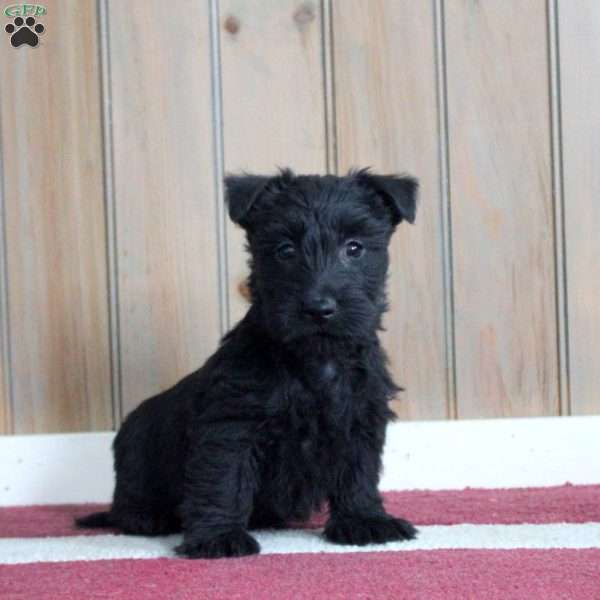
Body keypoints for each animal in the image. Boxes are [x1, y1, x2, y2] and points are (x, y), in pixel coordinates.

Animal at [77, 168, 420, 556]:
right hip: (137, 455)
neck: (314, 360)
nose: (319, 308)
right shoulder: (232, 427)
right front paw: (219, 537)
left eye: (354, 247)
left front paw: (365, 521)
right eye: (285, 250)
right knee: (127, 506)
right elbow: (223, 480)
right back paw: (148, 517)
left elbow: (357, 474)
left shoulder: (359, 421)